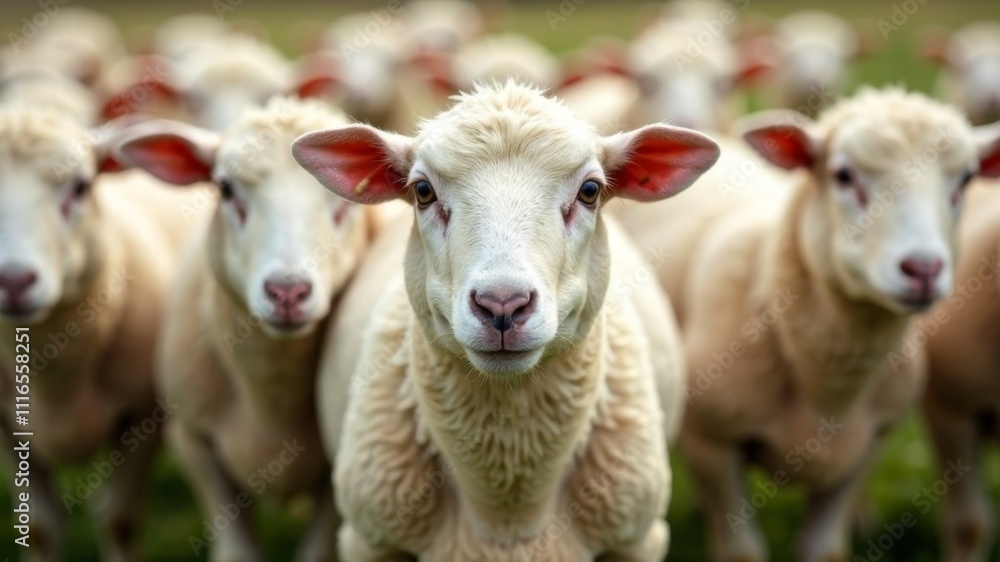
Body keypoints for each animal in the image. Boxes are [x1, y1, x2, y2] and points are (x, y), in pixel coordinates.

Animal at [0, 105, 194, 561]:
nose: (13, 282)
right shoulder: (7, 428)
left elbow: (118, 520)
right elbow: (39, 528)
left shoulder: (143, 414)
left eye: (81, 186)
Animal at [114, 96, 381, 561]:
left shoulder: (336, 475)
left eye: (347, 200)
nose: (287, 291)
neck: (270, 405)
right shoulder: (192, 440)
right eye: (224, 188)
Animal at [292, 81, 720, 560]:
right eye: (422, 191)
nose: (502, 305)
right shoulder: (369, 540)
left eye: (590, 190)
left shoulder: (638, 539)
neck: (506, 505)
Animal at [613, 87, 1000, 561]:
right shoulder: (712, 445)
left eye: (966, 180)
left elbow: (825, 550)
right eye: (843, 176)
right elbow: (741, 553)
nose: (923, 269)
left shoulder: (864, 450)